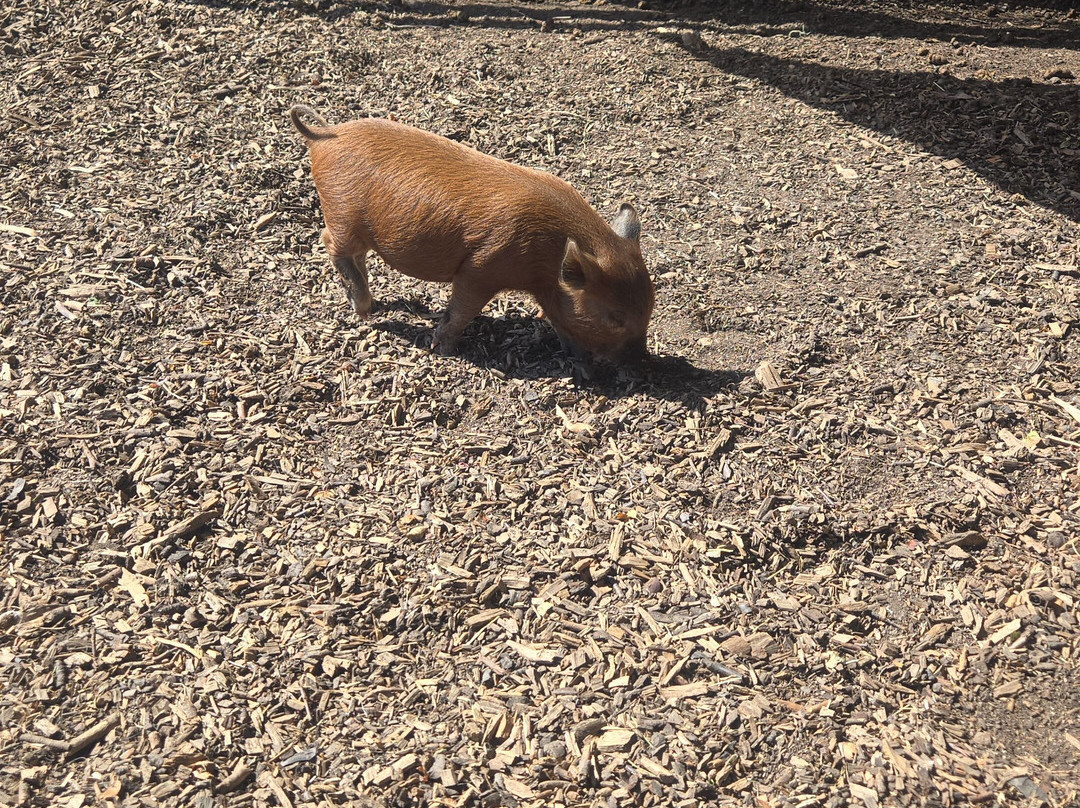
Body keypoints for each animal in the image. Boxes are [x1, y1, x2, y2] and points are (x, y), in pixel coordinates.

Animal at [288, 104, 654, 362]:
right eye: (615, 318)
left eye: (649, 308)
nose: (642, 363)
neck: (546, 256)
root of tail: (324, 135)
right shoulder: (481, 268)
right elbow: (461, 310)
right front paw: (442, 350)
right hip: (341, 214)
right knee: (330, 243)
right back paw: (364, 311)